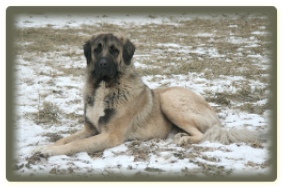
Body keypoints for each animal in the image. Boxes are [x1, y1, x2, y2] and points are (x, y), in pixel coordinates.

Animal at [35, 33, 258, 157]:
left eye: (114, 50)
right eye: (97, 50)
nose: (103, 64)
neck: (106, 86)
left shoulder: (110, 136)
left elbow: (76, 144)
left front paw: (50, 152)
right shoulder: (90, 129)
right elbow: (66, 139)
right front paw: (44, 147)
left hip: (170, 101)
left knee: (204, 134)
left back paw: (184, 139)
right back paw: (181, 135)